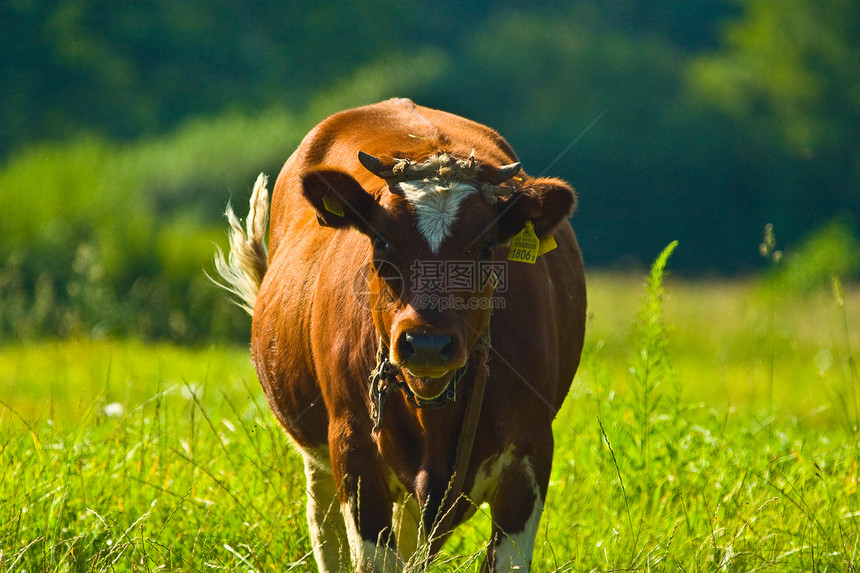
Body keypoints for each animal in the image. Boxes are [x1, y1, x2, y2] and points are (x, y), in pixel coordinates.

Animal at [215, 98, 588, 568]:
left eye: (486, 247)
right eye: (382, 242)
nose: (427, 344)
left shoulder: (531, 450)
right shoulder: (354, 451)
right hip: (318, 453)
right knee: (326, 529)